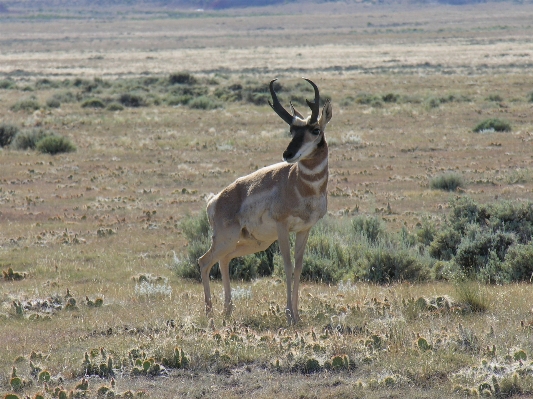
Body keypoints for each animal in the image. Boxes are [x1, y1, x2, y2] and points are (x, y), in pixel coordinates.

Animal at [198, 77, 332, 324]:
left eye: (315, 129)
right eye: (291, 130)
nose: (288, 154)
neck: (301, 185)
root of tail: (215, 199)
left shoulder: (304, 229)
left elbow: (299, 267)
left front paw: (298, 314)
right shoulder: (282, 227)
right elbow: (287, 265)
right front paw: (289, 314)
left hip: (252, 243)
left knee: (223, 259)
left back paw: (227, 310)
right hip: (227, 238)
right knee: (204, 261)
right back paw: (210, 313)